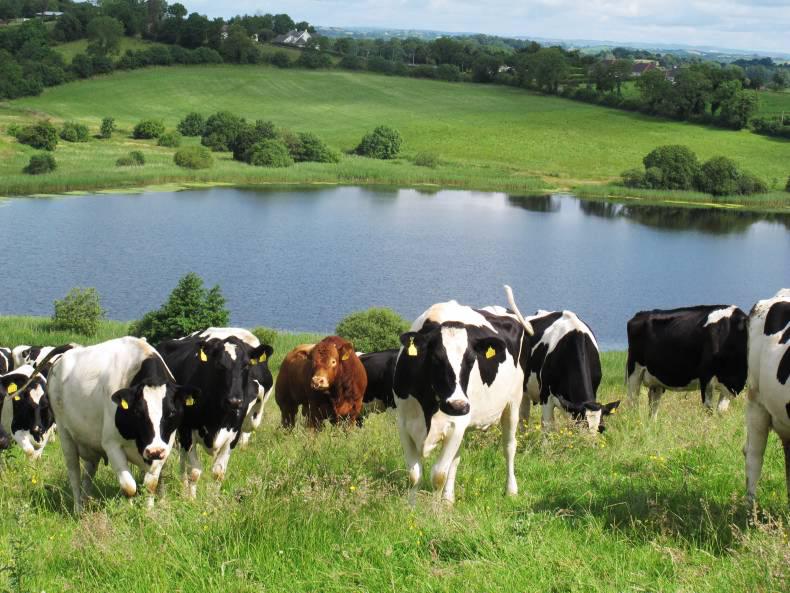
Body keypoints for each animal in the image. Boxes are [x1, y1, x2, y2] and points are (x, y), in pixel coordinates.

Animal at [43, 338, 198, 513]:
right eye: (138, 412)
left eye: (171, 412)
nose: (154, 451)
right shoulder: (111, 445)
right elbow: (129, 487)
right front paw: (130, 510)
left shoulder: (165, 446)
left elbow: (150, 484)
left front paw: (149, 511)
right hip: (65, 434)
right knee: (74, 473)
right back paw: (78, 509)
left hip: (91, 442)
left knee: (88, 473)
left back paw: (85, 501)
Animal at [157, 335, 270, 497]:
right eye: (219, 365)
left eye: (247, 365)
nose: (234, 401)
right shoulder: (187, 431)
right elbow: (194, 471)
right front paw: (191, 499)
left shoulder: (233, 435)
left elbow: (218, 473)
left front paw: (214, 499)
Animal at [393, 286, 534, 504]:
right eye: (436, 358)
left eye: (471, 360)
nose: (457, 405)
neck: (428, 407)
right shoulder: (403, 423)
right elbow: (414, 474)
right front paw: (412, 507)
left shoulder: (455, 423)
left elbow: (438, 475)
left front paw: (434, 511)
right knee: (456, 459)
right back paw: (449, 499)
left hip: (513, 402)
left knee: (509, 446)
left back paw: (511, 490)